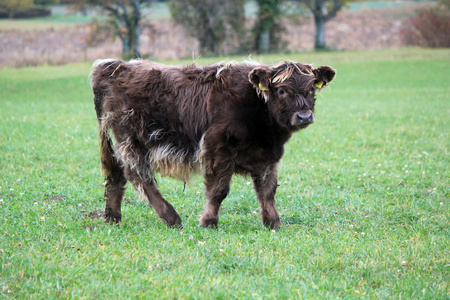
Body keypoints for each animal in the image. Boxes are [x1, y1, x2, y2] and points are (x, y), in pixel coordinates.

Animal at [90, 58, 334, 229]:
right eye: (282, 90)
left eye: (311, 89)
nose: (304, 116)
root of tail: (116, 66)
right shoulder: (217, 149)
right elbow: (219, 190)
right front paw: (209, 222)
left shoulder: (269, 157)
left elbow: (267, 190)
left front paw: (273, 222)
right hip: (132, 140)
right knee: (138, 175)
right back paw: (172, 217)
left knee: (117, 174)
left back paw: (113, 217)